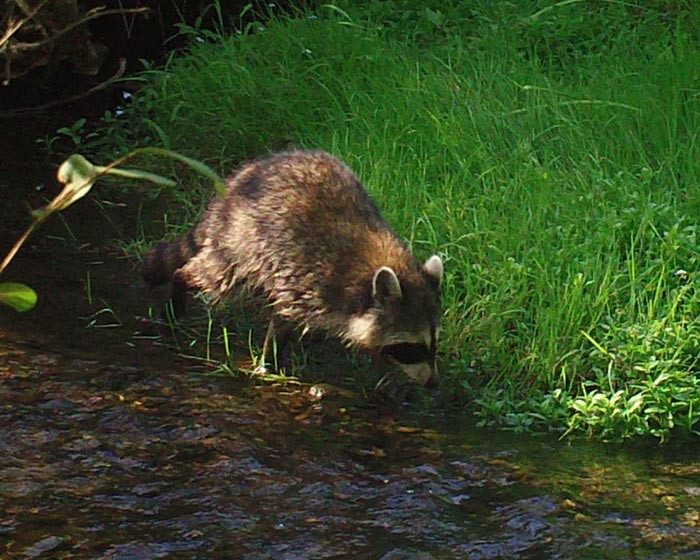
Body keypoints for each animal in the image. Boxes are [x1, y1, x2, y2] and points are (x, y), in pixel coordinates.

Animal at [142, 151, 442, 388]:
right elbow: (283, 316)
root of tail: (234, 184)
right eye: (411, 348)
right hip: (241, 240)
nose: (432, 384)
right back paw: (179, 284)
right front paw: (269, 361)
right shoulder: (307, 279)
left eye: (433, 343)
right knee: (216, 276)